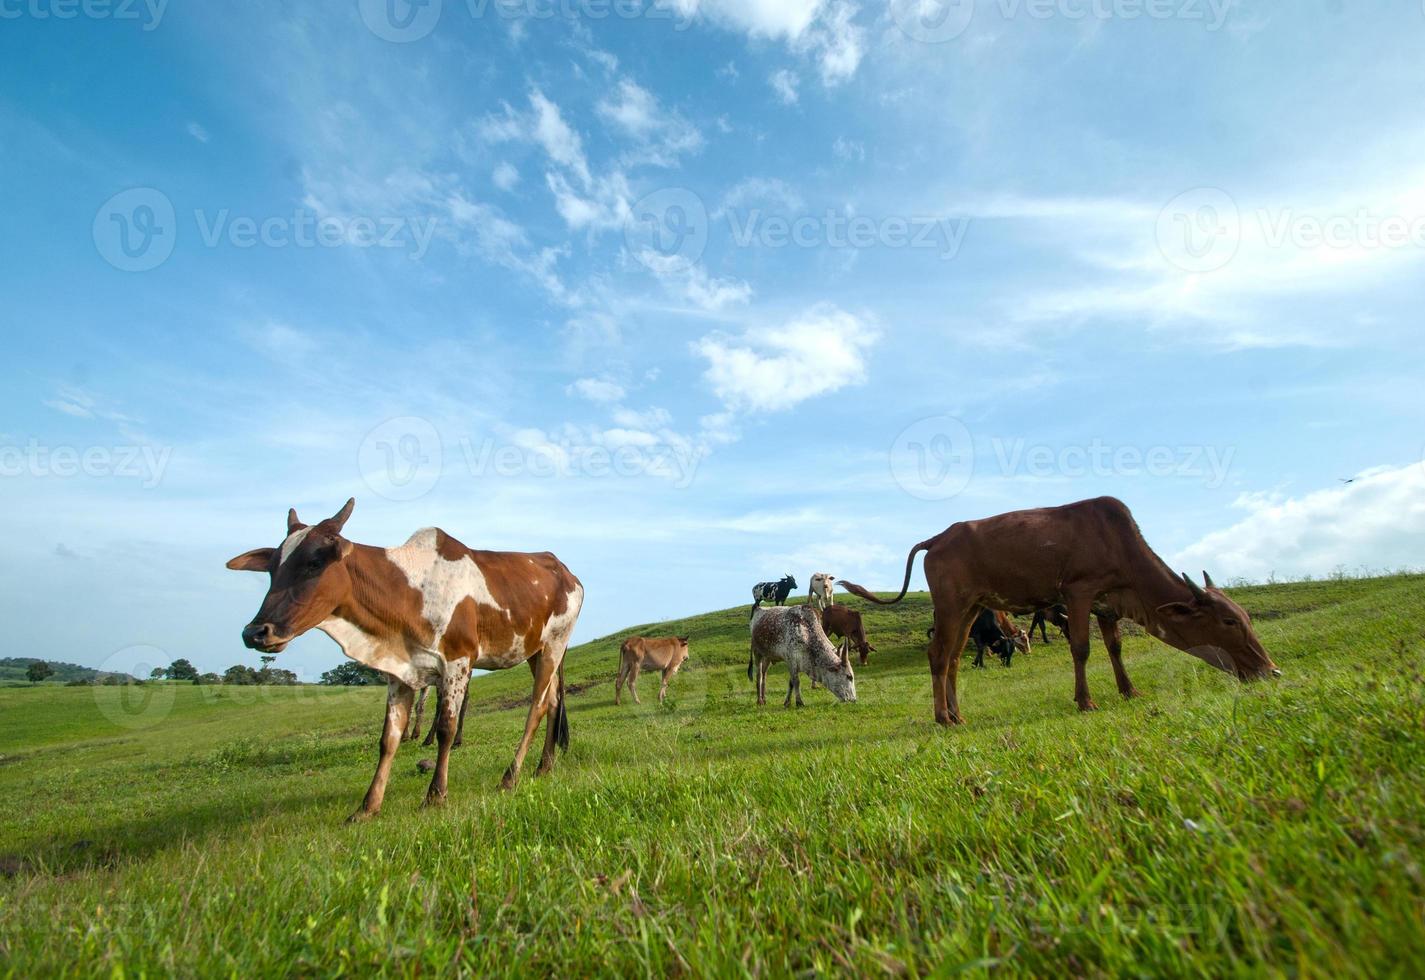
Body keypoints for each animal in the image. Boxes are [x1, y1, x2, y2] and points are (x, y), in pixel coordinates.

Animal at [225, 498, 581, 820]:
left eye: (315, 562)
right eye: (273, 569)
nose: (255, 632)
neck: (410, 592)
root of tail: (564, 570)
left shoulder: (457, 662)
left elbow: (446, 728)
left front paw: (436, 795)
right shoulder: (400, 673)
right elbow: (389, 738)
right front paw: (367, 807)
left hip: (554, 644)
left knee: (537, 706)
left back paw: (510, 776)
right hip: (536, 651)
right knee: (553, 701)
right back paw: (544, 766)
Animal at [837, 498, 1288, 726]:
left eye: (1246, 617)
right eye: (1229, 621)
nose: (1272, 670)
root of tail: (937, 538)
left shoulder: (1108, 603)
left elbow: (1115, 648)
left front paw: (1129, 691)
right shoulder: (1078, 591)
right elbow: (1082, 648)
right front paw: (1085, 701)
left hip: (970, 608)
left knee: (952, 659)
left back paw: (956, 714)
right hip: (951, 605)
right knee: (937, 656)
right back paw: (941, 717)